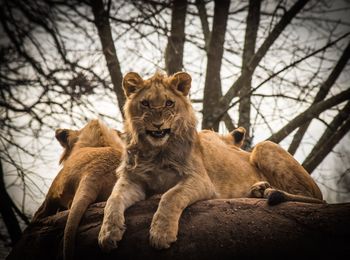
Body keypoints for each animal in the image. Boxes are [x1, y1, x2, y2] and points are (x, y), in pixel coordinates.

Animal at [98, 71, 322, 252]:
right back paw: (258, 189)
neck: (155, 150)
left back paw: (268, 191)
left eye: (169, 103)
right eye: (145, 103)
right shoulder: (132, 180)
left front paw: (161, 234)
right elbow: (113, 200)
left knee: (309, 198)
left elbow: (170, 196)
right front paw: (108, 234)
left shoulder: (201, 180)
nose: (158, 124)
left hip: (264, 147)